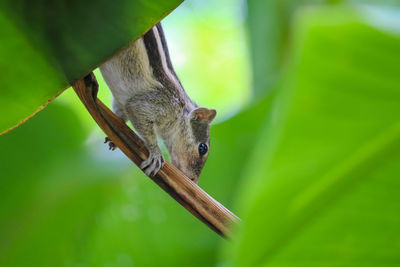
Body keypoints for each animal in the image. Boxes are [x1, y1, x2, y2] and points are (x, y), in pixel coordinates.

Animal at [100, 23, 217, 183]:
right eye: (203, 148)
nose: (194, 180)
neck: (180, 111)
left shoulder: (121, 102)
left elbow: (120, 113)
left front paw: (114, 134)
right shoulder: (158, 105)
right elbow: (137, 113)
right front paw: (156, 154)